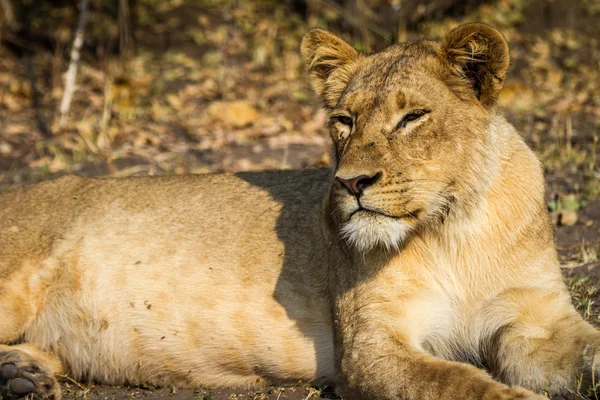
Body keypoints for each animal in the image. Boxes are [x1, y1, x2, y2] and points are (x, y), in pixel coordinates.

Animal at [0, 22, 596, 400]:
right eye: (344, 121)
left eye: (412, 118)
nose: (351, 182)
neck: (457, 226)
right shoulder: (371, 348)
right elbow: (460, 384)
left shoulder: (536, 320)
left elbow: (587, 351)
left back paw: (21, 375)